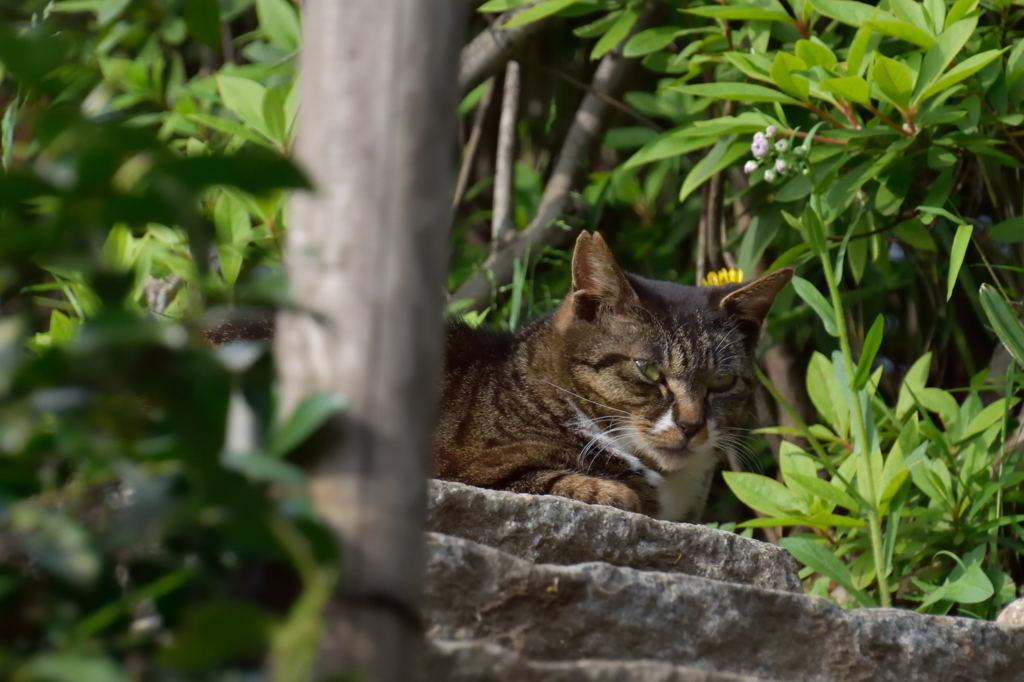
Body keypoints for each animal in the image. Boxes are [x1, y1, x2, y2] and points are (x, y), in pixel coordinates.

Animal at [432, 229, 790, 520]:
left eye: (722, 382)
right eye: (649, 370)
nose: (691, 425)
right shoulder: (474, 468)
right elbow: (573, 485)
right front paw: (619, 493)